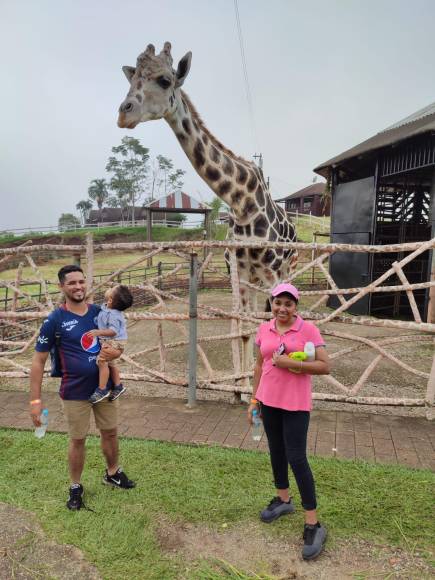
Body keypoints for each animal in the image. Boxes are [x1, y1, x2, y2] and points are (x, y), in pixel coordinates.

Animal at [117, 43, 298, 308]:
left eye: (165, 80)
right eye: (132, 80)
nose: (123, 114)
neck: (242, 202)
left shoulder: (272, 271)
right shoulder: (238, 271)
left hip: (288, 268)